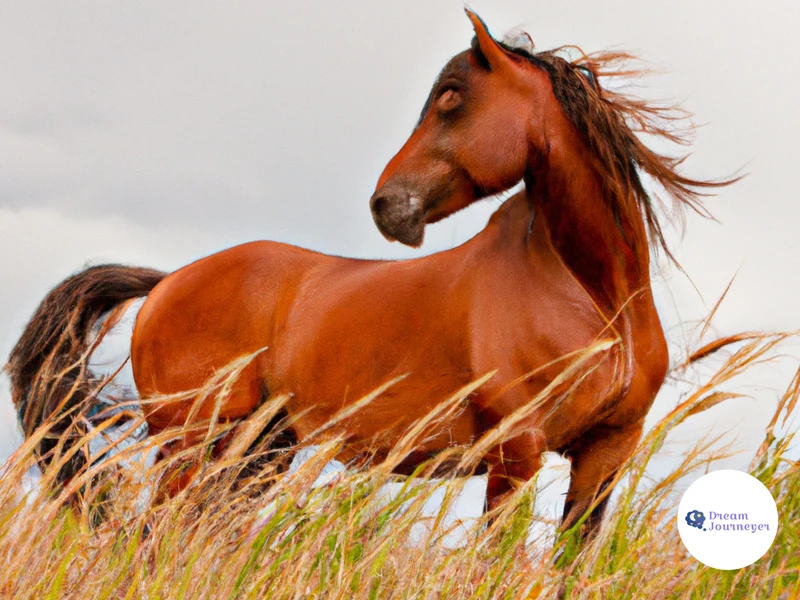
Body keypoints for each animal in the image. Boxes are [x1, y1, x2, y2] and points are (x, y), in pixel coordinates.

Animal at [4, 8, 732, 536]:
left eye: (451, 96)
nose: (386, 205)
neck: (597, 297)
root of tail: (165, 283)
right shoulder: (515, 453)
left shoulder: (602, 459)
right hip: (191, 445)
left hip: (257, 453)